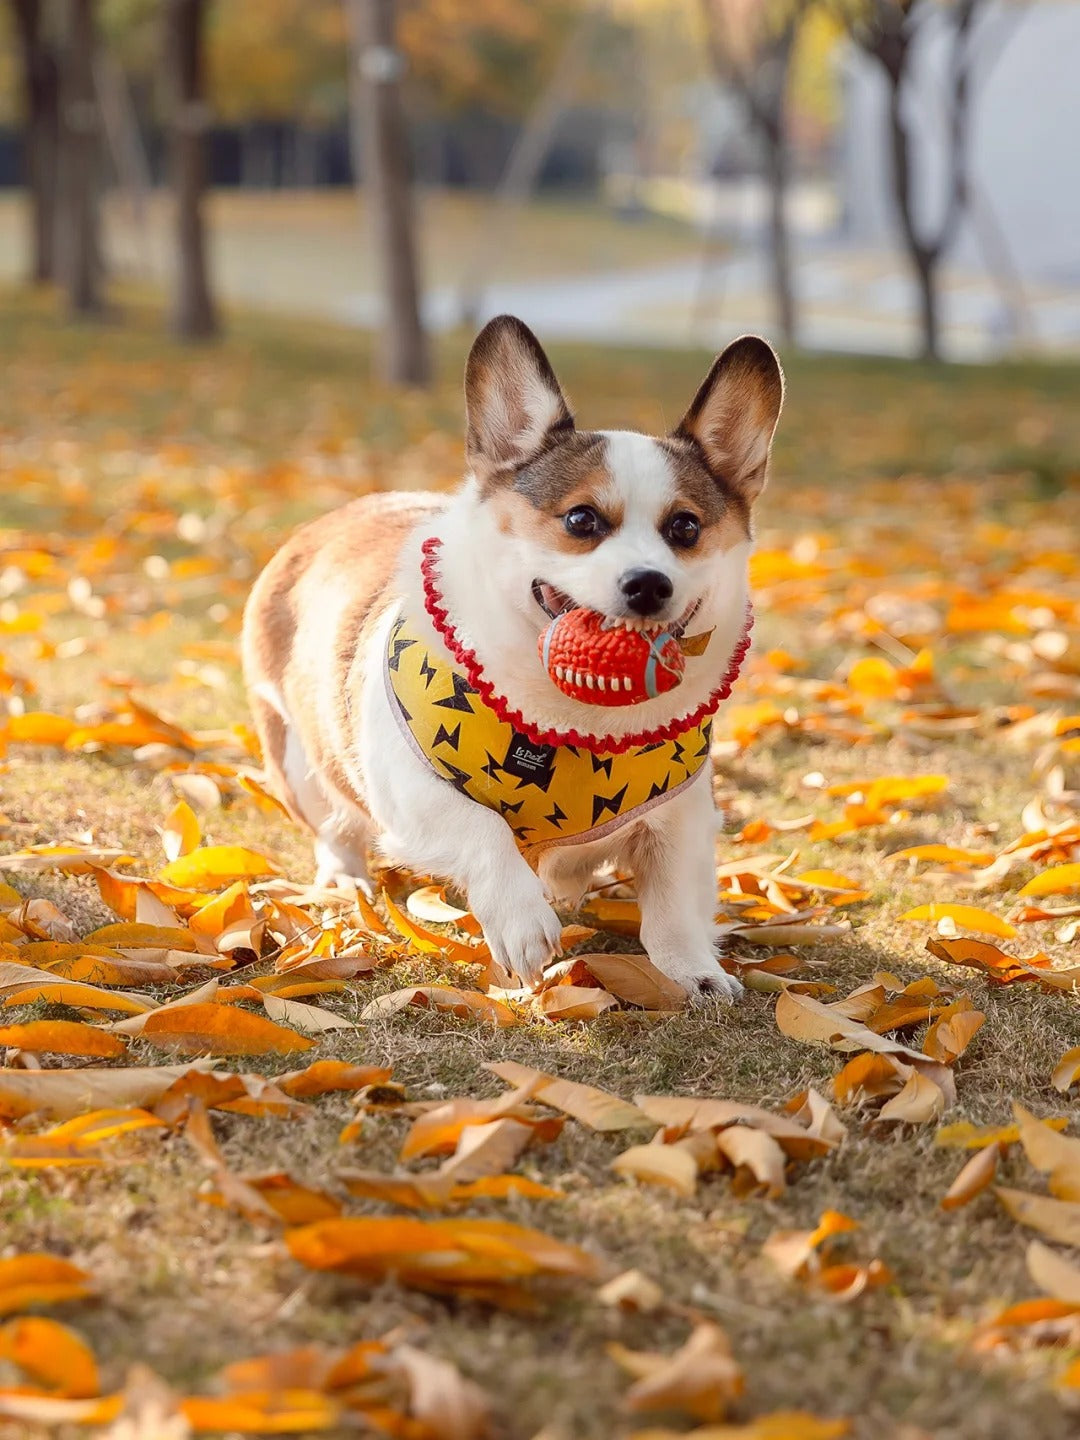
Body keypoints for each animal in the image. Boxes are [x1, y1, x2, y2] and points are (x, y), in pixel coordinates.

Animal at [243, 318, 789, 1002]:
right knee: (337, 827)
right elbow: (484, 829)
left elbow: (673, 906)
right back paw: (347, 879)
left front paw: (693, 972)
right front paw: (523, 924)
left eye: (686, 529)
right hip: (298, 760)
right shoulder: (410, 791)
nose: (649, 584)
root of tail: (333, 516)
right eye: (581, 519)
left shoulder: (680, 818)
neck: (575, 721)